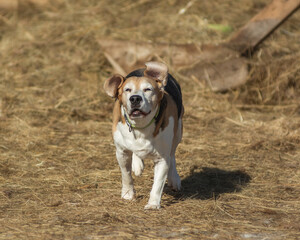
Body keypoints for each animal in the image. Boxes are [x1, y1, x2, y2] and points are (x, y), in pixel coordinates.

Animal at [104, 61, 184, 208]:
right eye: (127, 90)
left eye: (148, 89)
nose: (135, 98)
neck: (141, 126)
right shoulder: (121, 152)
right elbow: (126, 174)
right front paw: (128, 194)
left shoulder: (162, 158)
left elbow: (158, 184)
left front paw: (153, 204)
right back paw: (137, 165)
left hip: (179, 131)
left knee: (172, 154)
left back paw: (174, 179)